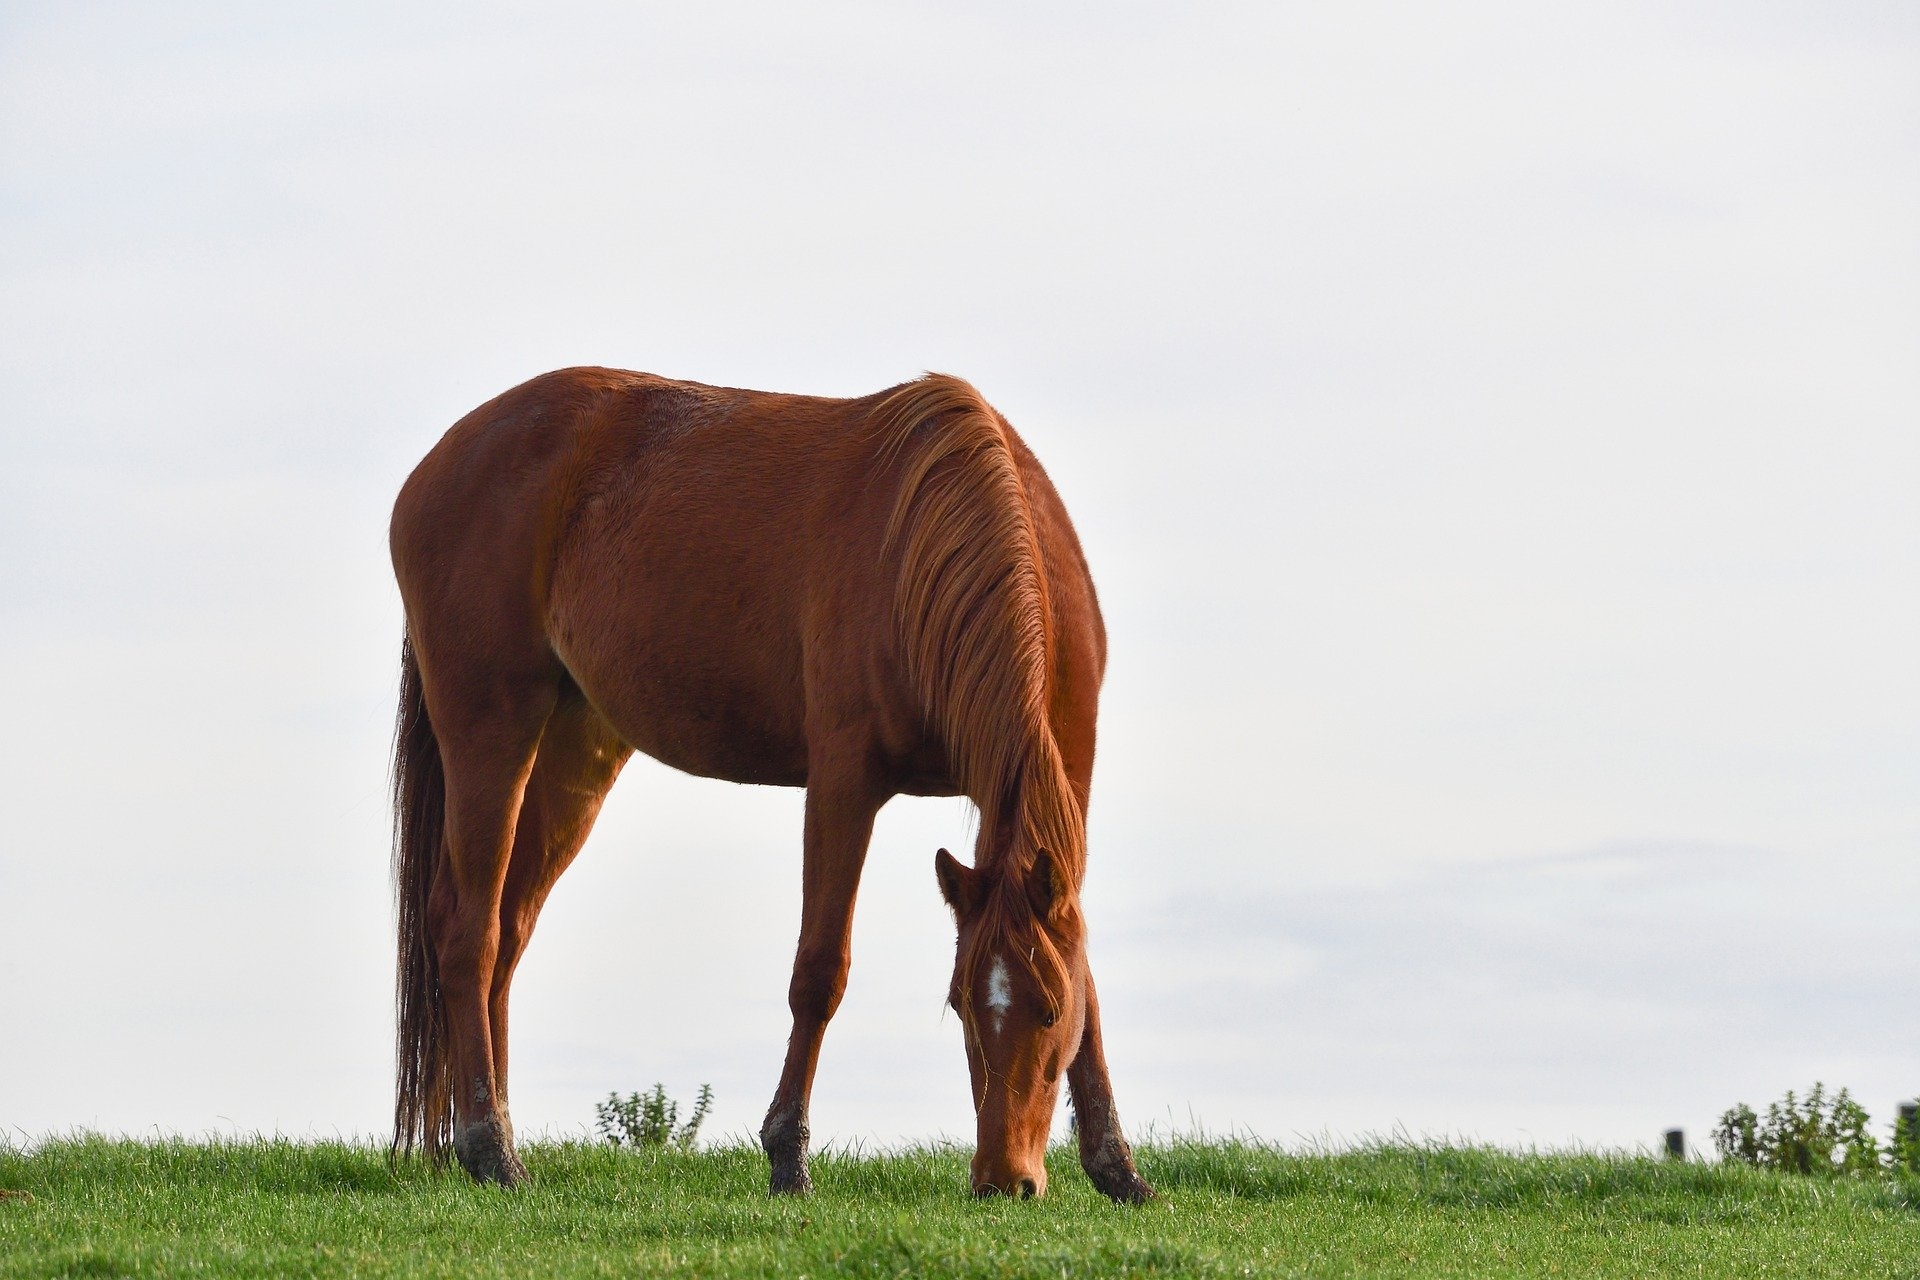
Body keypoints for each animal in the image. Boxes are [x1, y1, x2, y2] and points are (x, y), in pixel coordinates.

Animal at [382, 362, 1144, 1205]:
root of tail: (439, 462)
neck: (936, 538)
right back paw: (489, 1148)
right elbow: (819, 970)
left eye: (1046, 1012)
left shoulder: (1066, 789)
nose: (1003, 1180)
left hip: (572, 751)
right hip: (490, 729)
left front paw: (1116, 1164)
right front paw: (787, 1155)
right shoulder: (844, 783)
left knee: (509, 931)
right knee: (469, 931)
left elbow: (1088, 975)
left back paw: (495, 1137)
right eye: (960, 1007)